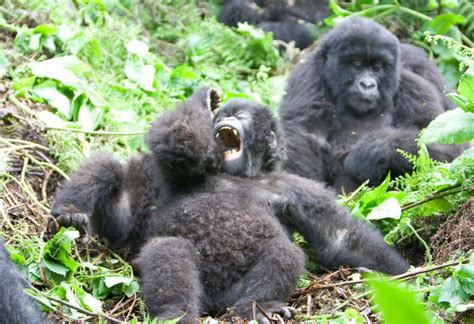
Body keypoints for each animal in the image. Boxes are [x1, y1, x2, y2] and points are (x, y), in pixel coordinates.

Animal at [50, 87, 410, 322]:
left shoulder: (296, 188)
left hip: (230, 296)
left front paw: (404, 273)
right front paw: (202, 99)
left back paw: (256, 309)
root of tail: (212, 303)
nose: (224, 118)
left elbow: (339, 237)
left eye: (240, 116)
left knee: (284, 254)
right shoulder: (178, 168)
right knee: (166, 245)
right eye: (223, 116)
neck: (242, 174)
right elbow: (178, 139)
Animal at [280, 17, 464, 192]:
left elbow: (442, 141)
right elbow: (305, 134)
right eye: (357, 64)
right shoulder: (308, 76)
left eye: (377, 67)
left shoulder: (413, 84)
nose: (367, 85)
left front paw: (367, 153)